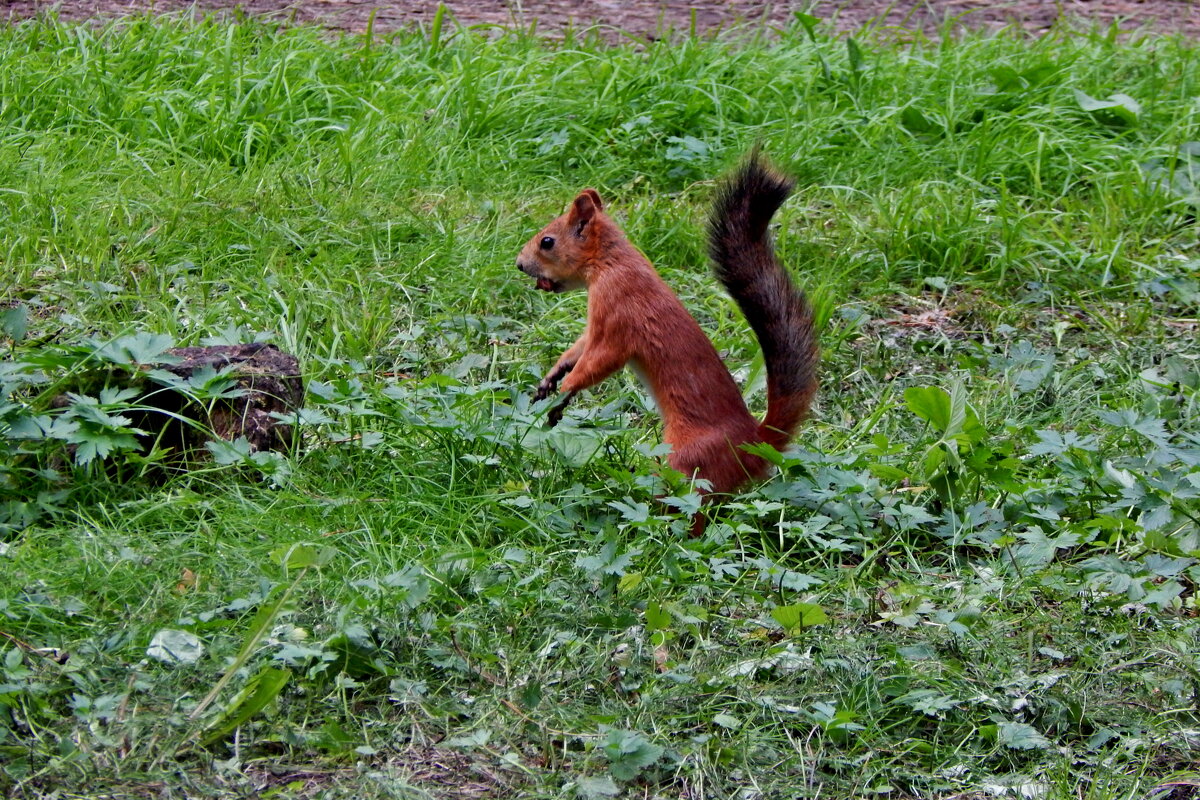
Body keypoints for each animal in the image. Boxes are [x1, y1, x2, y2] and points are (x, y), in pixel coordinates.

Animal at [516, 153, 816, 534]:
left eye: (548, 241)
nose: (519, 264)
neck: (611, 262)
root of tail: (754, 447)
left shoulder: (617, 318)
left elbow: (598, 362)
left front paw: (566, 391)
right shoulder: (596, 327)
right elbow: (579, 348)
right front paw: (553, 377)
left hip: (687, 463)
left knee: (694, 509)